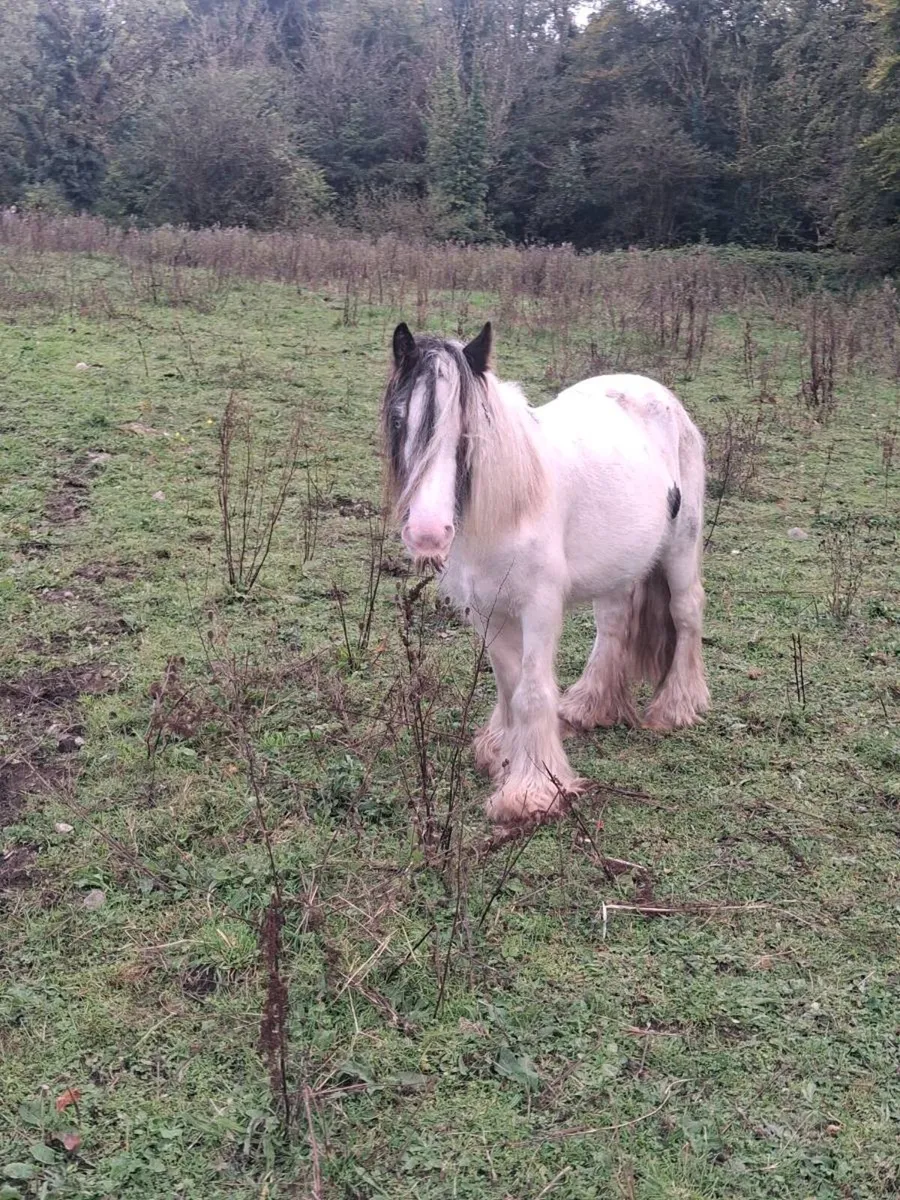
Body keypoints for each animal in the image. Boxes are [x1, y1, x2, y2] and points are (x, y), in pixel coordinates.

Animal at [381, 321, 709, 824]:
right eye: (399, 421)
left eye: (468, 432)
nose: (428, 533)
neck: (511, 505)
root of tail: (657, 392)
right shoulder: (486, 610)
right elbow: (508, 684)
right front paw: (503, 754)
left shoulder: (539, 607)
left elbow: (531, 692)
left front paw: (532, 791)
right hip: (617, 566)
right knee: (613, 627)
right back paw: (590, 706)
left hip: (681, 547)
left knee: (687, 613)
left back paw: (674, 708)